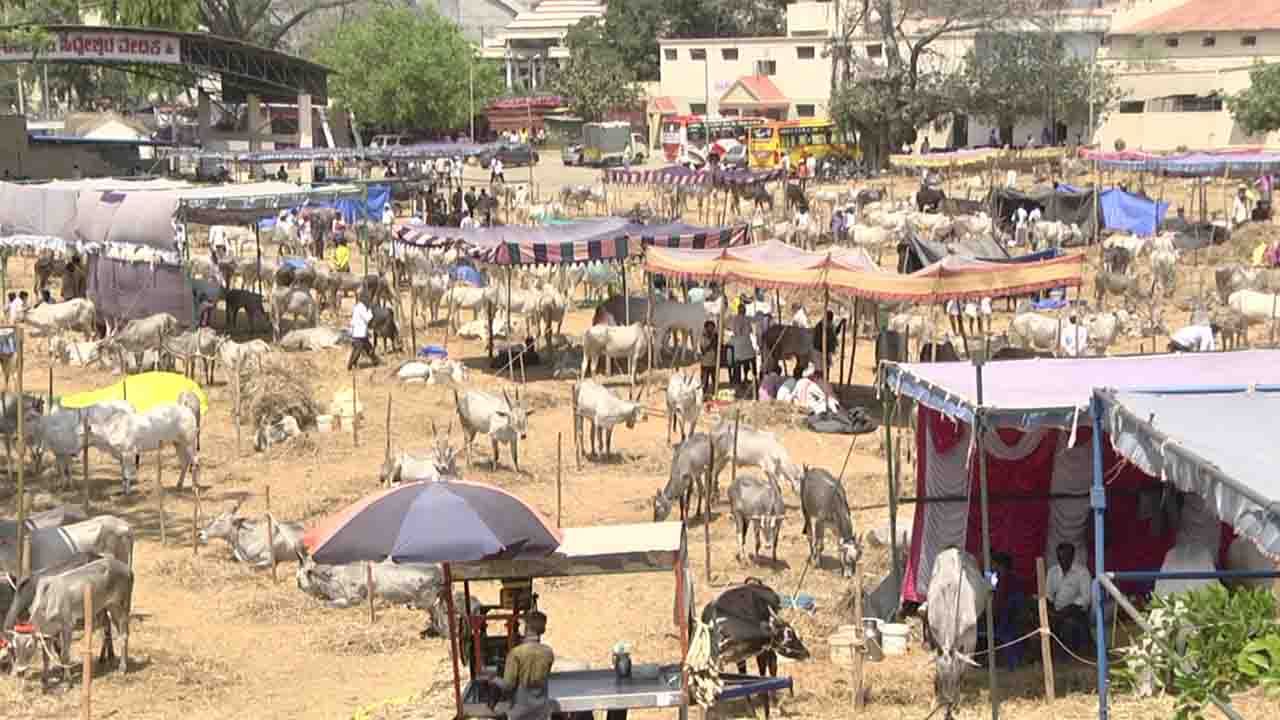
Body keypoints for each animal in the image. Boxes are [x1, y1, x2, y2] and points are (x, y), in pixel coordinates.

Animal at [921, 545, 988, 712]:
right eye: (940, 675)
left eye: (954, 674)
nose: (948, 701)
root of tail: (953, 549)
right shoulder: (936, 634)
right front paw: (935, 700)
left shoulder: (971, 639)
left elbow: (964, 668)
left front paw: (958, 700)